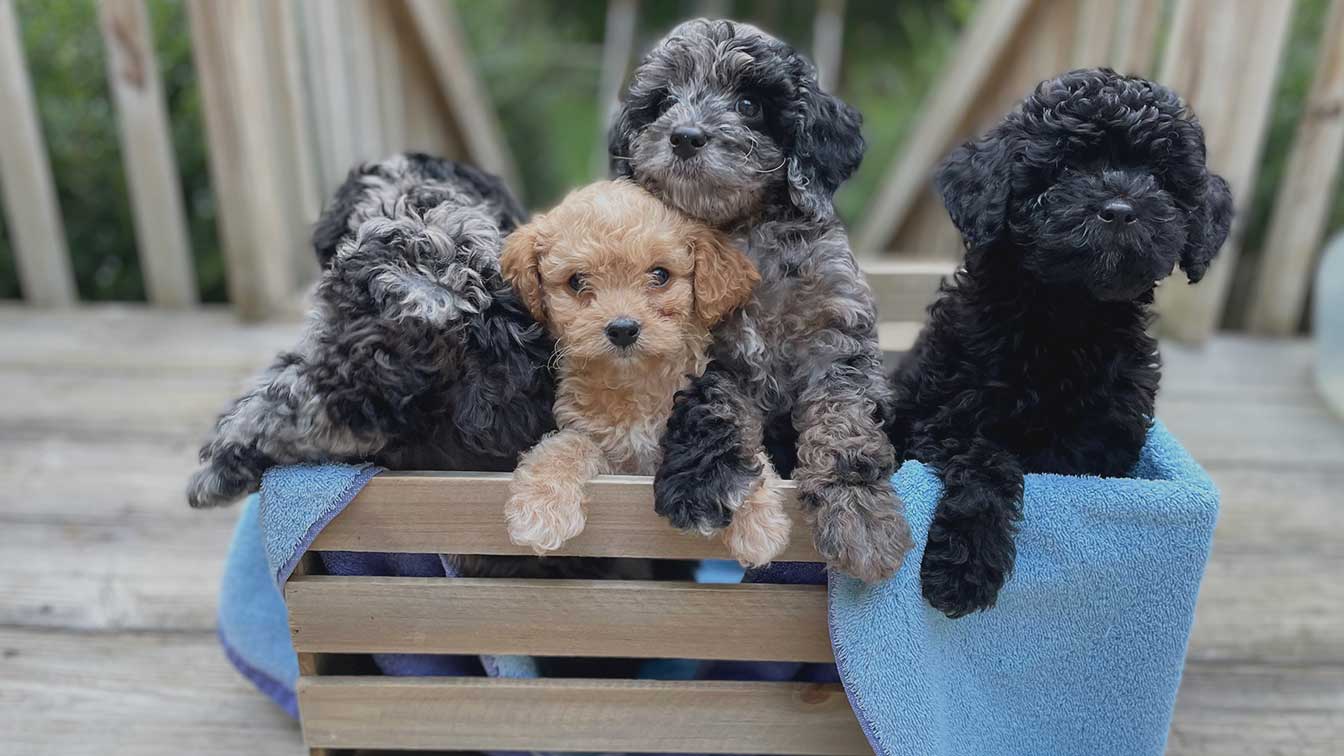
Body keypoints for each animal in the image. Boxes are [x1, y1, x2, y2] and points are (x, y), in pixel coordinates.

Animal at [499, 178, 790, 562]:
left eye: (660, 275)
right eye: (576, 281)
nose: (623, 329)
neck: (635, 383)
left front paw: (759, 522)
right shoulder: (601, 446)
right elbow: (565, 445)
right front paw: (541, 510)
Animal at [612, 19, 913, 583]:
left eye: (749, 103)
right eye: (663, 102)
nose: (684, 137)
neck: (746, 235)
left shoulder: (837, 341)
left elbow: (845, 424)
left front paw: (861, 518)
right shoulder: (701, 352)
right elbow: (714, 408)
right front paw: (702, 484)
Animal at [887, 67, 1231, 616]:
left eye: (1158, 178)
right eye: (1066, 167)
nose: (1120, 210)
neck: (1066, 320)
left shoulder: (1108, 441)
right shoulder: (947, 418)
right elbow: (987, 464)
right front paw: (965, 567)